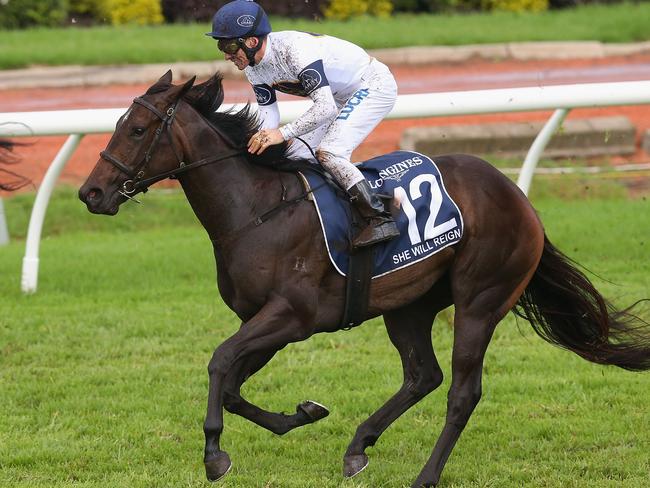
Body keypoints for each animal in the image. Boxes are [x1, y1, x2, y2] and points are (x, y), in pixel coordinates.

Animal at [78, 69, 644, 488]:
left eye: (135, 129)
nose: (91, 193)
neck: (256, 210)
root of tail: (519, 199)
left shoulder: (292, 316)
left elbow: (219, 363)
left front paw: (215, 454)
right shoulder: (264, 320)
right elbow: (234, 384)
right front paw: (304, 413)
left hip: (480, 301)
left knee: (462, 392)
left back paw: (425, 476)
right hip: (410, 305)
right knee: (423, 375)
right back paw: (358, 446)